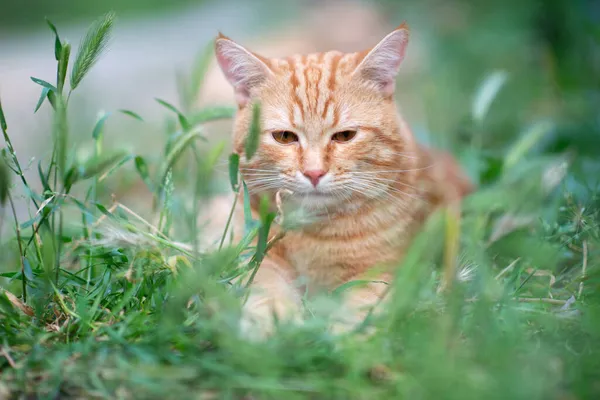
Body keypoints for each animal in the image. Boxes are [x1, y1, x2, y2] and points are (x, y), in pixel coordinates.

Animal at [212, 23, 474, 340]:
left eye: (345, 136)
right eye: (284, 137)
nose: (314, 173)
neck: (313, 231)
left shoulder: (384, 271)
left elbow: (359, 308)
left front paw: (341, 338)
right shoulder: (257, 256)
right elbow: (265, 290)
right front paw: (275, 328)